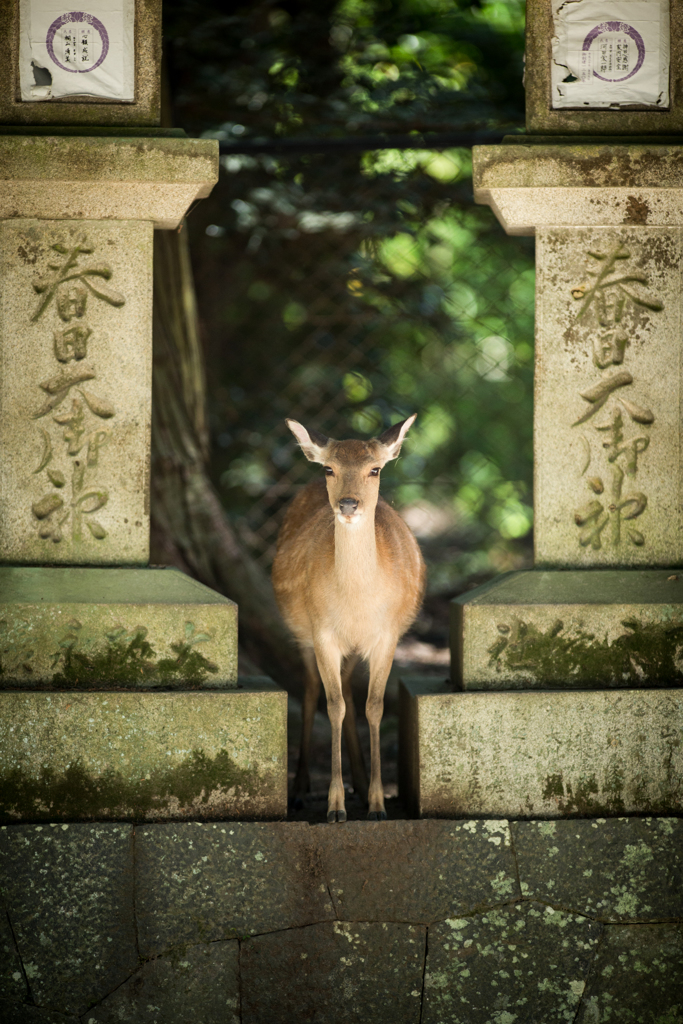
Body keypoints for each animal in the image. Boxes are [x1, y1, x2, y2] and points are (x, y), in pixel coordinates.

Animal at [274, 411, 428, 819]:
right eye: (330, 468)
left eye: (375, 469)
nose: (347, 504)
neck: (357, 603)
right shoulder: (322, 631)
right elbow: (333, 707)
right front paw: (334, 806)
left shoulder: (387, 635)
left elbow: (374, 707)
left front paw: (376, 803)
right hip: (303, 634)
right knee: (313, 690)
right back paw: (300, 790)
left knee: (349, 691)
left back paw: (359, 783)